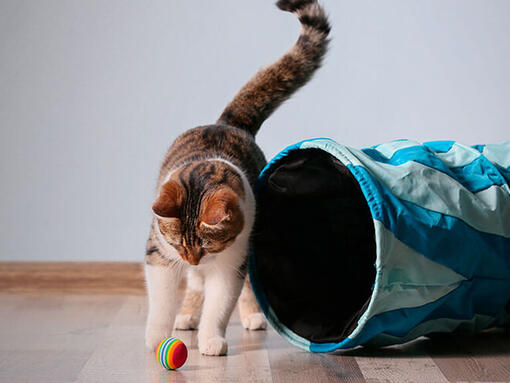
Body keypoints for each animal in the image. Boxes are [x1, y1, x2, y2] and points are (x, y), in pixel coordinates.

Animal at [143, 0, 330, 356]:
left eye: (206, 245)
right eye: (179, 243)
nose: (192, 259)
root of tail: (227, 122)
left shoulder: (231, 261)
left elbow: (221, 302)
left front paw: (211, 340)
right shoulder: (160, 254)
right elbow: (161, 300)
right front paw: (158, 338)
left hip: (250, 248)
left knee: (242, 287)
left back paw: (252, 316)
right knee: (194, 286)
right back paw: (187, 314)